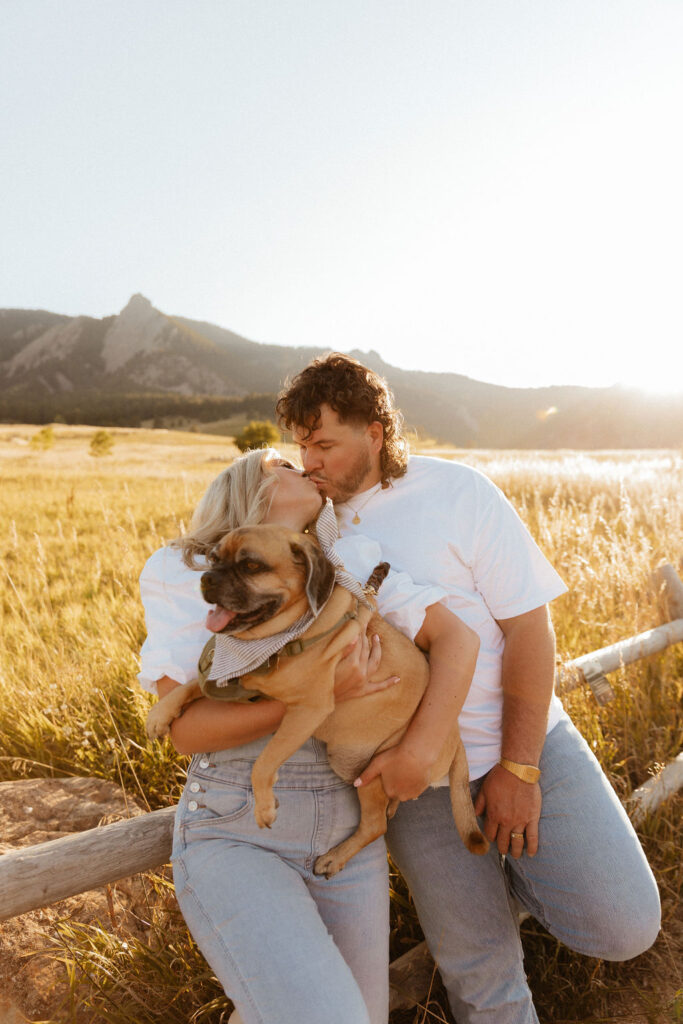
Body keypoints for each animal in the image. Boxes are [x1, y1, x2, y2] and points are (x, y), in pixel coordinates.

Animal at [147, 524, 489, 876]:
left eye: (251, 565)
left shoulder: (306, 712)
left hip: (373, 769)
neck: (281, 640)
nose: (207, 579)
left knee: (374, 826)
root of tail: (455, 738)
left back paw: (335, 857)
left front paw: (264, 806)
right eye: (213, 559)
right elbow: (192, 684)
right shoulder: (237, 681)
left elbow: (263, 762)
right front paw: (161, 713)